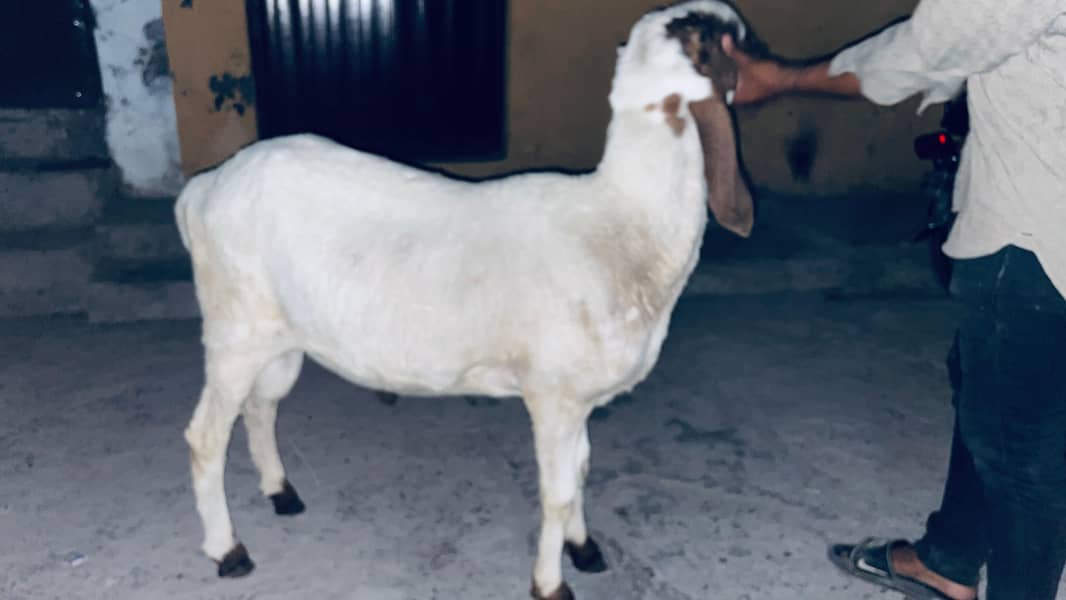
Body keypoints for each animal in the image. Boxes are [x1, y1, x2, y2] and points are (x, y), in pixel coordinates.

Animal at [174, 1, 760, 598]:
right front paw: (550, 583)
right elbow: (557, 491)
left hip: (280, 339)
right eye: (725, 43)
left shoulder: (580, 399)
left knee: (260, 407)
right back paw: (228, 550)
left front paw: (584, 548)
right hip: (233, 334)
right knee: (205, 438)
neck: (625, 219)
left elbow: (581, 471)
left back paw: (281, 492)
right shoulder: (553, 394)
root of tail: (203, 189)